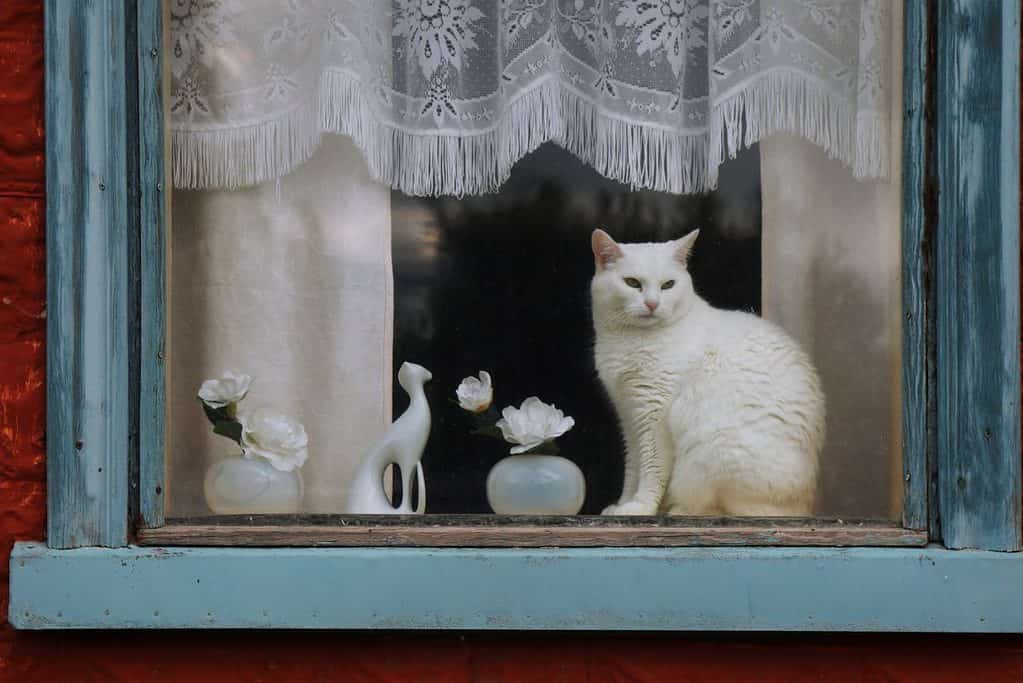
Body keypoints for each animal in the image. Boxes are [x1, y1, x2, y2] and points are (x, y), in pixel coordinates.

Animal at [593, 229, 822, 517]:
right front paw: (623, 503)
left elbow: (651, 470)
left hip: (714, 449)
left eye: (668, 285)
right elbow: (633, 469)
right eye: (632, 283)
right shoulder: (629, 417)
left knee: (723, 509)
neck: (630, 340)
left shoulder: (653, 417)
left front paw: (641, 507)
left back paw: (678, 510)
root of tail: (804, 507)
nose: (652, 304)